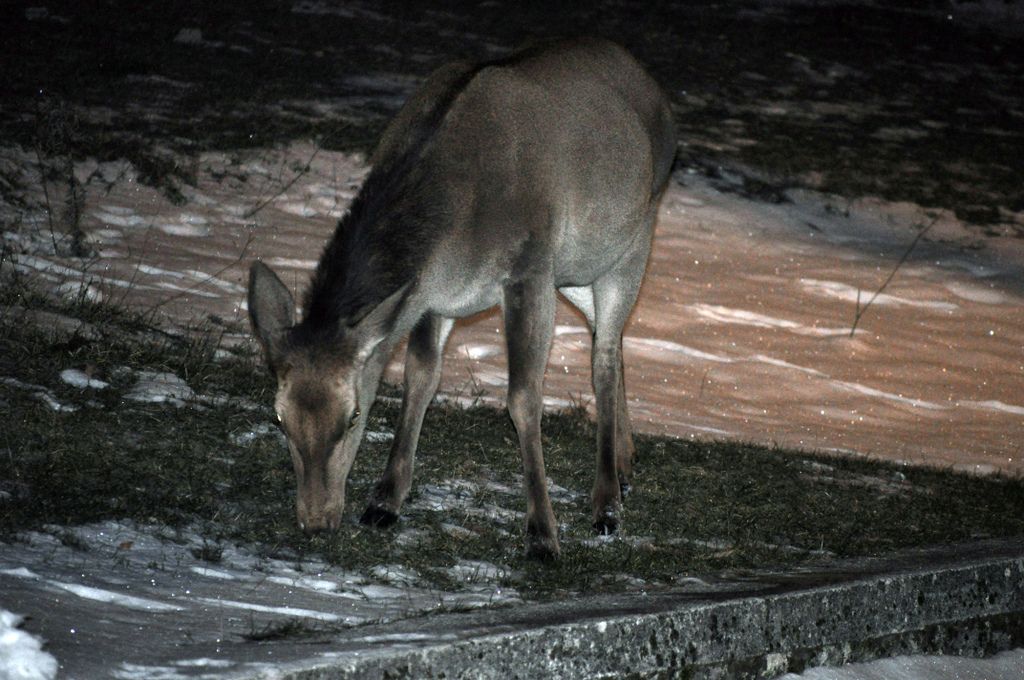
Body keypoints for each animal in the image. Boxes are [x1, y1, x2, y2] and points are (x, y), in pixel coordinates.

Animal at [247, 37, 675, 559]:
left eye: (352, 417)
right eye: (279, 418)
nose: (314, 521)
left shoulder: (530, 267)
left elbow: (523, 397)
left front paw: (543, 535)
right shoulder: (430, 295)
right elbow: (419, 378)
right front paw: (384, 502)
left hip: (633, 240)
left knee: (605, 355)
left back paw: (607, 503)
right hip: (576, 269)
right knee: (608, 342)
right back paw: (627, 462)